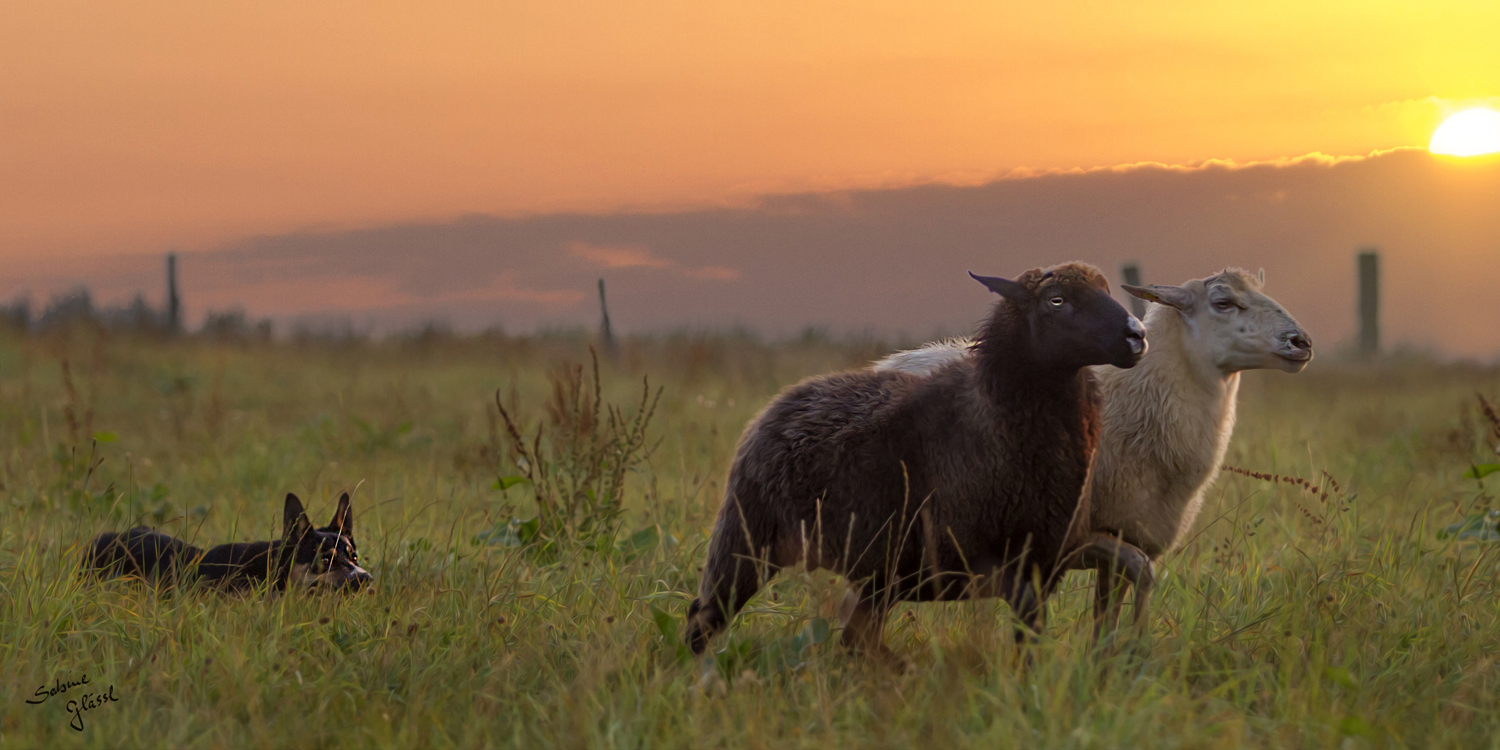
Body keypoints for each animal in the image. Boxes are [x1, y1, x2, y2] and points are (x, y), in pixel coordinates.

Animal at [876, 270, 1314, 633]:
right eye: (1223, 302)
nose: (1301, 342)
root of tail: (885, 364)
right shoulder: (1082, 537)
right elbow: (1142, 575)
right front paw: (1138, 643)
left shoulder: (1133, 535)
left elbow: (1110, 613)